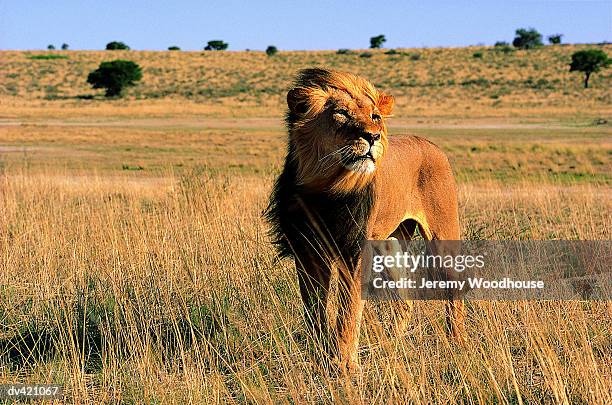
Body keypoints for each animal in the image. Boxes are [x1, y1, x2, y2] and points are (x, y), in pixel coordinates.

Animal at [264, 68, 464, 370]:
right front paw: (321, 356)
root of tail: (430, 143)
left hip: (442, 235)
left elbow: (348, 310)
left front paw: (345, 366)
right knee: (404, 301)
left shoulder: (355, 250)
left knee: (454, 289)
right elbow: (314, 308)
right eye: (341, 114)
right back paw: (392, 346)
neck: (326, 188)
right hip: (390, 244)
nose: (373, 137)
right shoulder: (307, 250)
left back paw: (458, 344)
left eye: (375, 116)